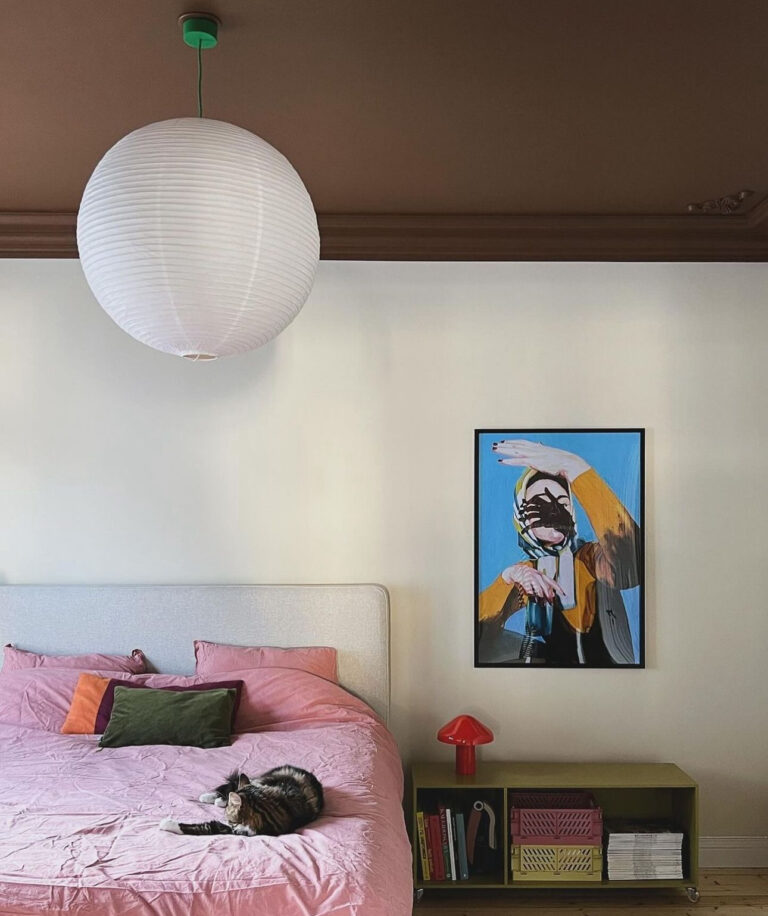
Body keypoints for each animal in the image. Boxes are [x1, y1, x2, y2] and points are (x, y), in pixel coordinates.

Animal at [159, 764, 320, 836]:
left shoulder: (235, 829)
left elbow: (207, 826)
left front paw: (167, 823)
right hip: (261, 779)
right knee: (232, 786)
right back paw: (210, 797)